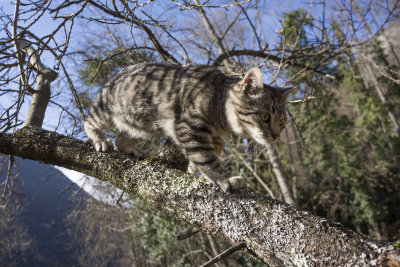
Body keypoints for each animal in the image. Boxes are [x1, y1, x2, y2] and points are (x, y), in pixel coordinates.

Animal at [84, 62, 292, 193]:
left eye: (282, 121)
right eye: (265, 117)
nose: (275, 135)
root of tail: (117, 74)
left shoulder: (210, 135)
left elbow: (214, 148)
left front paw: (194, 167)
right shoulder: (188, 127)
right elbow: (206, 157)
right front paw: (225, 178)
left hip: (143, 126)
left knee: (120, 138)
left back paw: (133, 149)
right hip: (106, 110)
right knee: (89, 120)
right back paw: (100, 140)